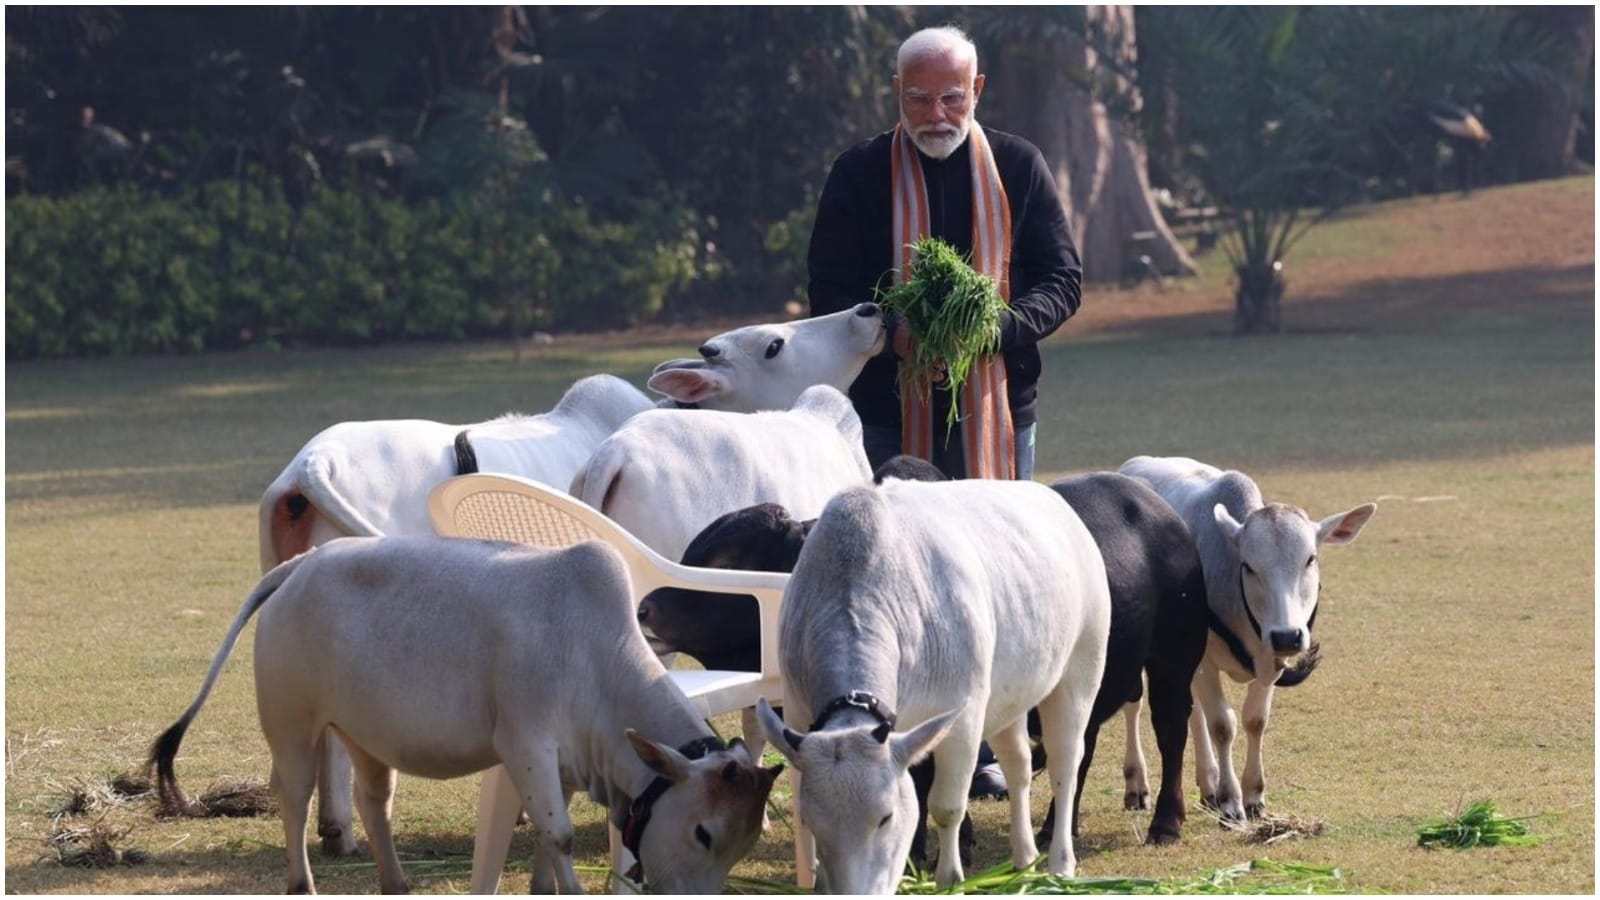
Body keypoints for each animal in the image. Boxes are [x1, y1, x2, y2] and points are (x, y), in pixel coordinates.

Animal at [148, 536, 781, 894]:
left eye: (745, 844)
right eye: (703, 833)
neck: (594, 654)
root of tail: (302, 564)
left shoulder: (564, 766)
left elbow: (547, 845)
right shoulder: (526, 744)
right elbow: (560, 835)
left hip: (364, 737)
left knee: (373, 802)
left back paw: (396, 883)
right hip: (293, 726)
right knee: (295, 797)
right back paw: (302, 885)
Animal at [754, 477, 1111, 891]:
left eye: (886, 817)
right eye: (815, 822)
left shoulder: (964, 718)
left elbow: (946, 806)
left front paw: (949, 878)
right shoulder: (797, 711)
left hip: (1082, 666)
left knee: (1064, 763)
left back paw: (1060, 863)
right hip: (1009, 695)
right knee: (1018, 764)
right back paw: (1023, 857)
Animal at [1119, 455, 1375, 822]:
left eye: (1309, 559)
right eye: (1249, 566)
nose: (1287, 636)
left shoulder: (1269, 661)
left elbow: (1255, 720)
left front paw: (1253, 794)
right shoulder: (1204, 661)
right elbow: (1222, 725)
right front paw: (1231, 801)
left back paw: (1207, 783)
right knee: (1135, 705)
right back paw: (1138, 785)